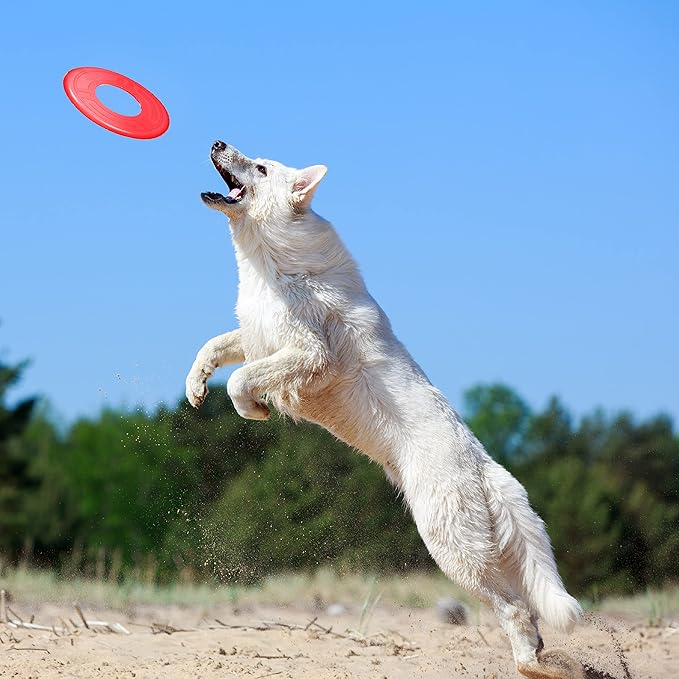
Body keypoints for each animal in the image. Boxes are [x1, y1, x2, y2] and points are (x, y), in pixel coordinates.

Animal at [186, 141, 584, 676]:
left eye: (262, 167)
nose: (217, 142)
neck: (271, 261)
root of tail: (488, 470)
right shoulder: (257, 335)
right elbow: (213, 348)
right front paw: (195, 388)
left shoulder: (309, 354)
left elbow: (241, 380)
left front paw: (253, 409)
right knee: (525, 608)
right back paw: (538, 656)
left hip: (451, 546)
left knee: (515, 607)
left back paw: (532, 665)